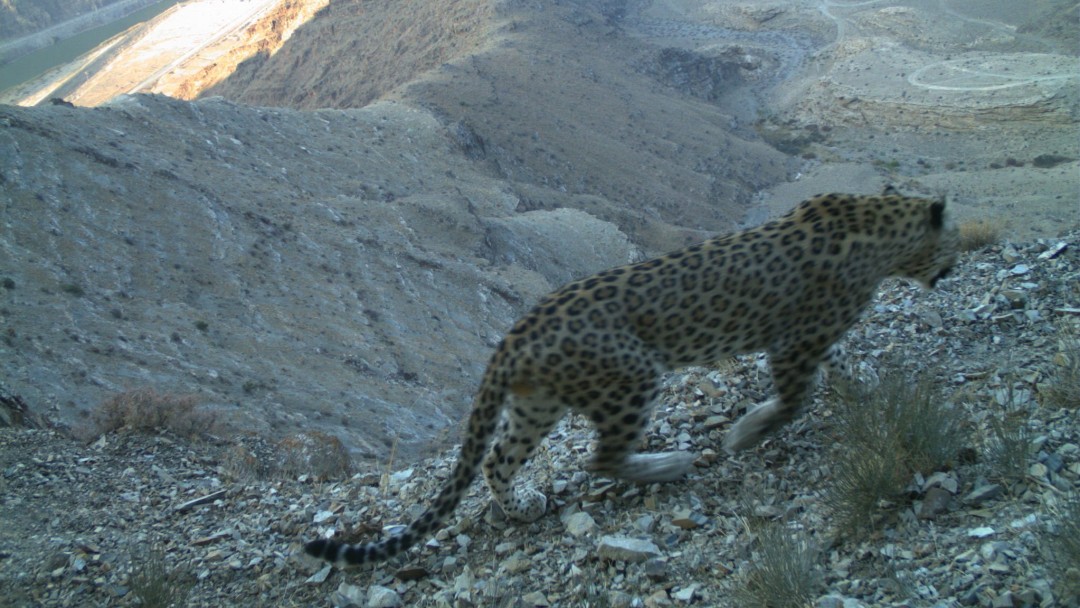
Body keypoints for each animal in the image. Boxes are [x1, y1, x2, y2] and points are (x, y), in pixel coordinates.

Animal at [306, 186, 963, 565]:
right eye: (954, 239)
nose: (955, 266)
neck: (880, 233)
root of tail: (517, 331)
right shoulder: (796, 341)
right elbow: (793, 401)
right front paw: (747, 432)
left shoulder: (813, 337)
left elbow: (839, 364)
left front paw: (863, 385)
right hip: (633, 375)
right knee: (600, 458)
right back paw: (670, 464)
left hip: (537, 405)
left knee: (497, 459)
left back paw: (523, 507)